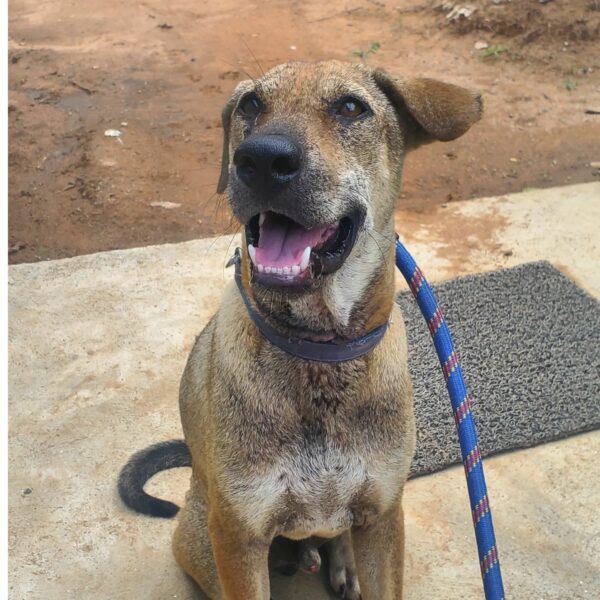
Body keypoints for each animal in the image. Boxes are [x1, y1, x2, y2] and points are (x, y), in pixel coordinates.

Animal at [118, 61, 482, 600]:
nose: (261, 160)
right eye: (250, 104)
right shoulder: (238, 536)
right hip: (200, 535)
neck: (318, 353)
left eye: (351, 107)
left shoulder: (383, 516)